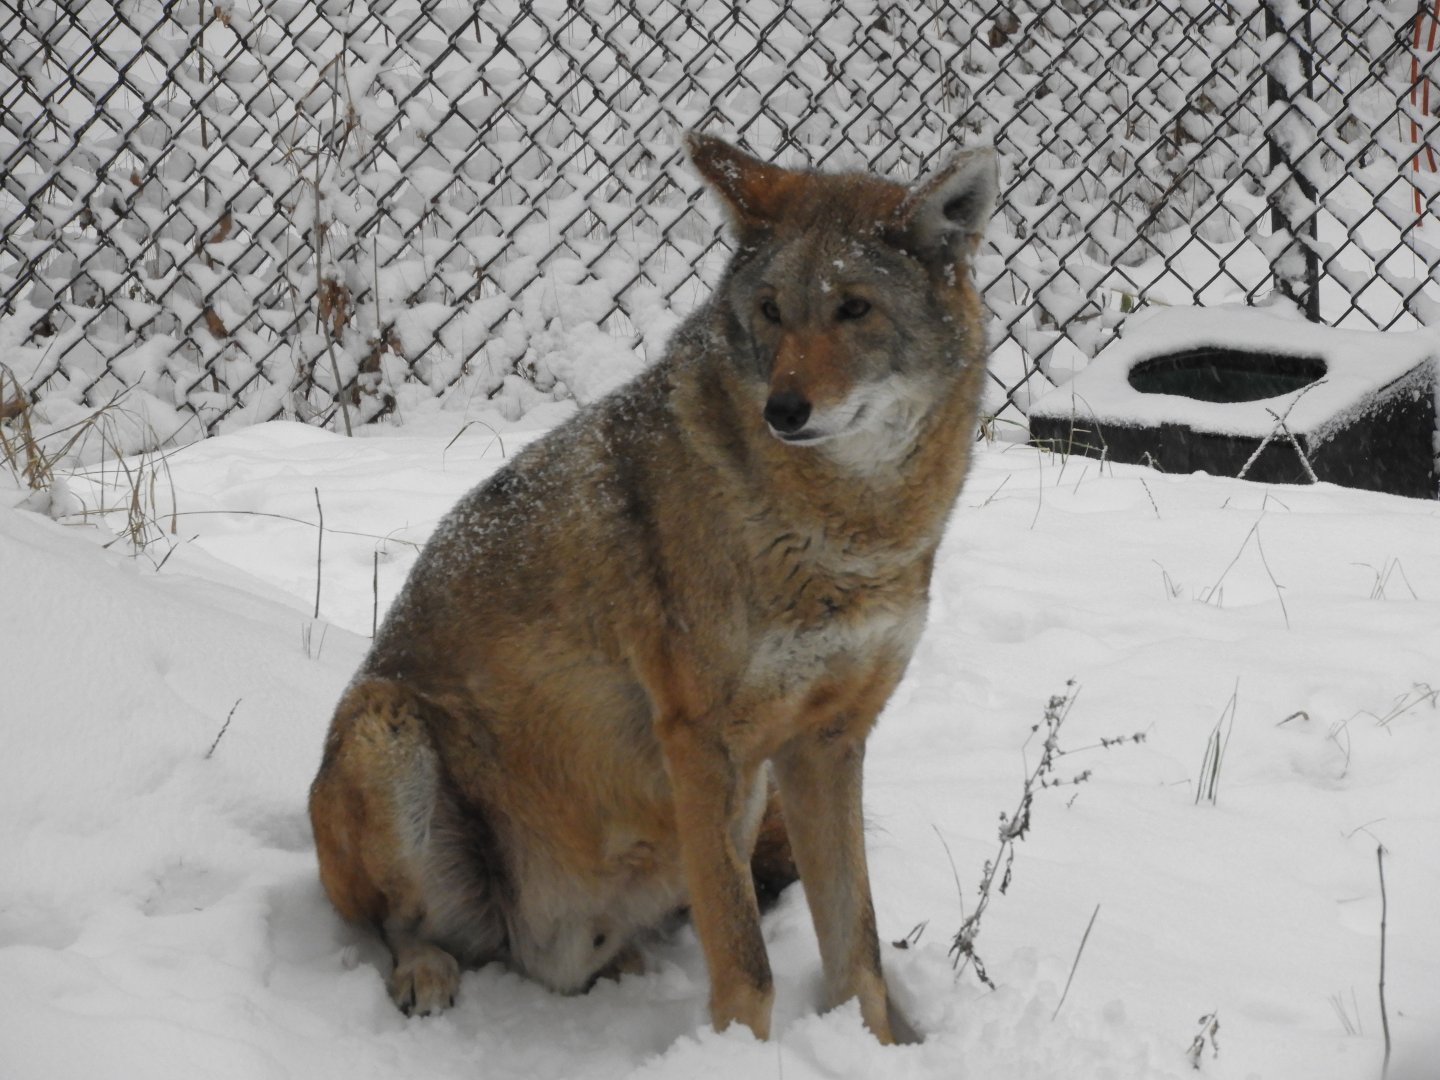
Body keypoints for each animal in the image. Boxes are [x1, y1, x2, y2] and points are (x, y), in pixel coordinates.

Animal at [309, 133, 997, 1044]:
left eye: (855, 309)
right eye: (771, 311)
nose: (784, 409)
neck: (847, 531)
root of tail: (540, 944)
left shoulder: (829, 742)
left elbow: (857, 953)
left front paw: (878, 1046)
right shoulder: (701, 742)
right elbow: (747, 968)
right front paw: (742, 1053)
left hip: (733, 811)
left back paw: (621, 966)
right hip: (383, 727)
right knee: (399, 925)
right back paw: (427, 969)